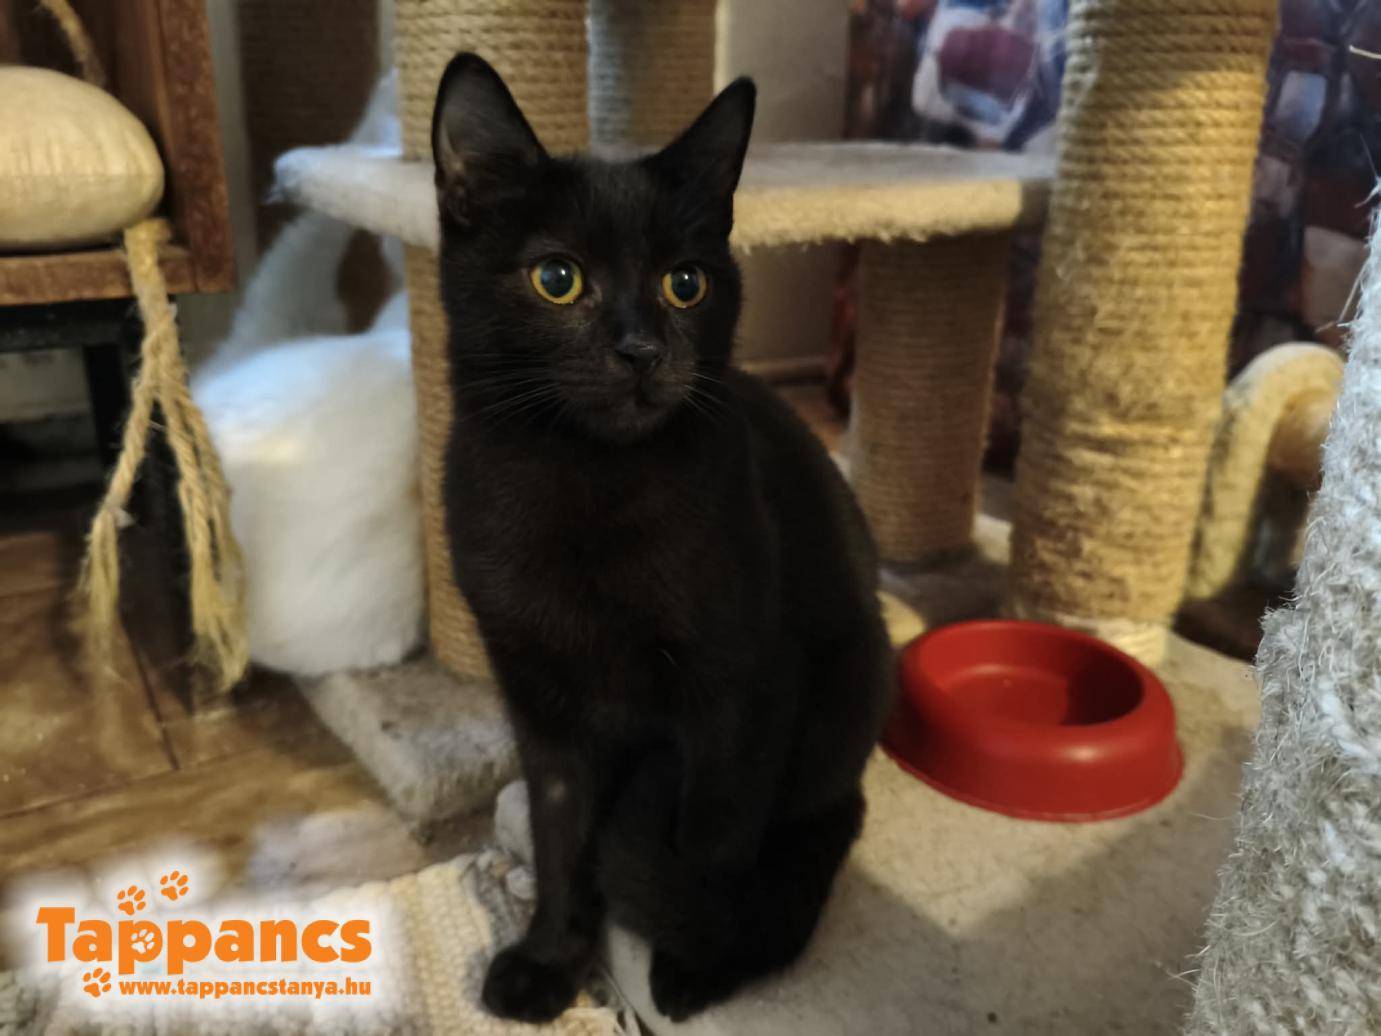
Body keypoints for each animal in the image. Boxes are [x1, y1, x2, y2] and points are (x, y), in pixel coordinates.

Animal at [432, 53, 894, 1022]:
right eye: (557, 278)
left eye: (687, 282)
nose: (642, 350)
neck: (581, 490)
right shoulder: (540, 705)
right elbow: (559, 839)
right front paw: (549, 960)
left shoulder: (744, 691)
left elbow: (711, 839)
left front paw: (694, 958)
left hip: (854, 674)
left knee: (826, 821)